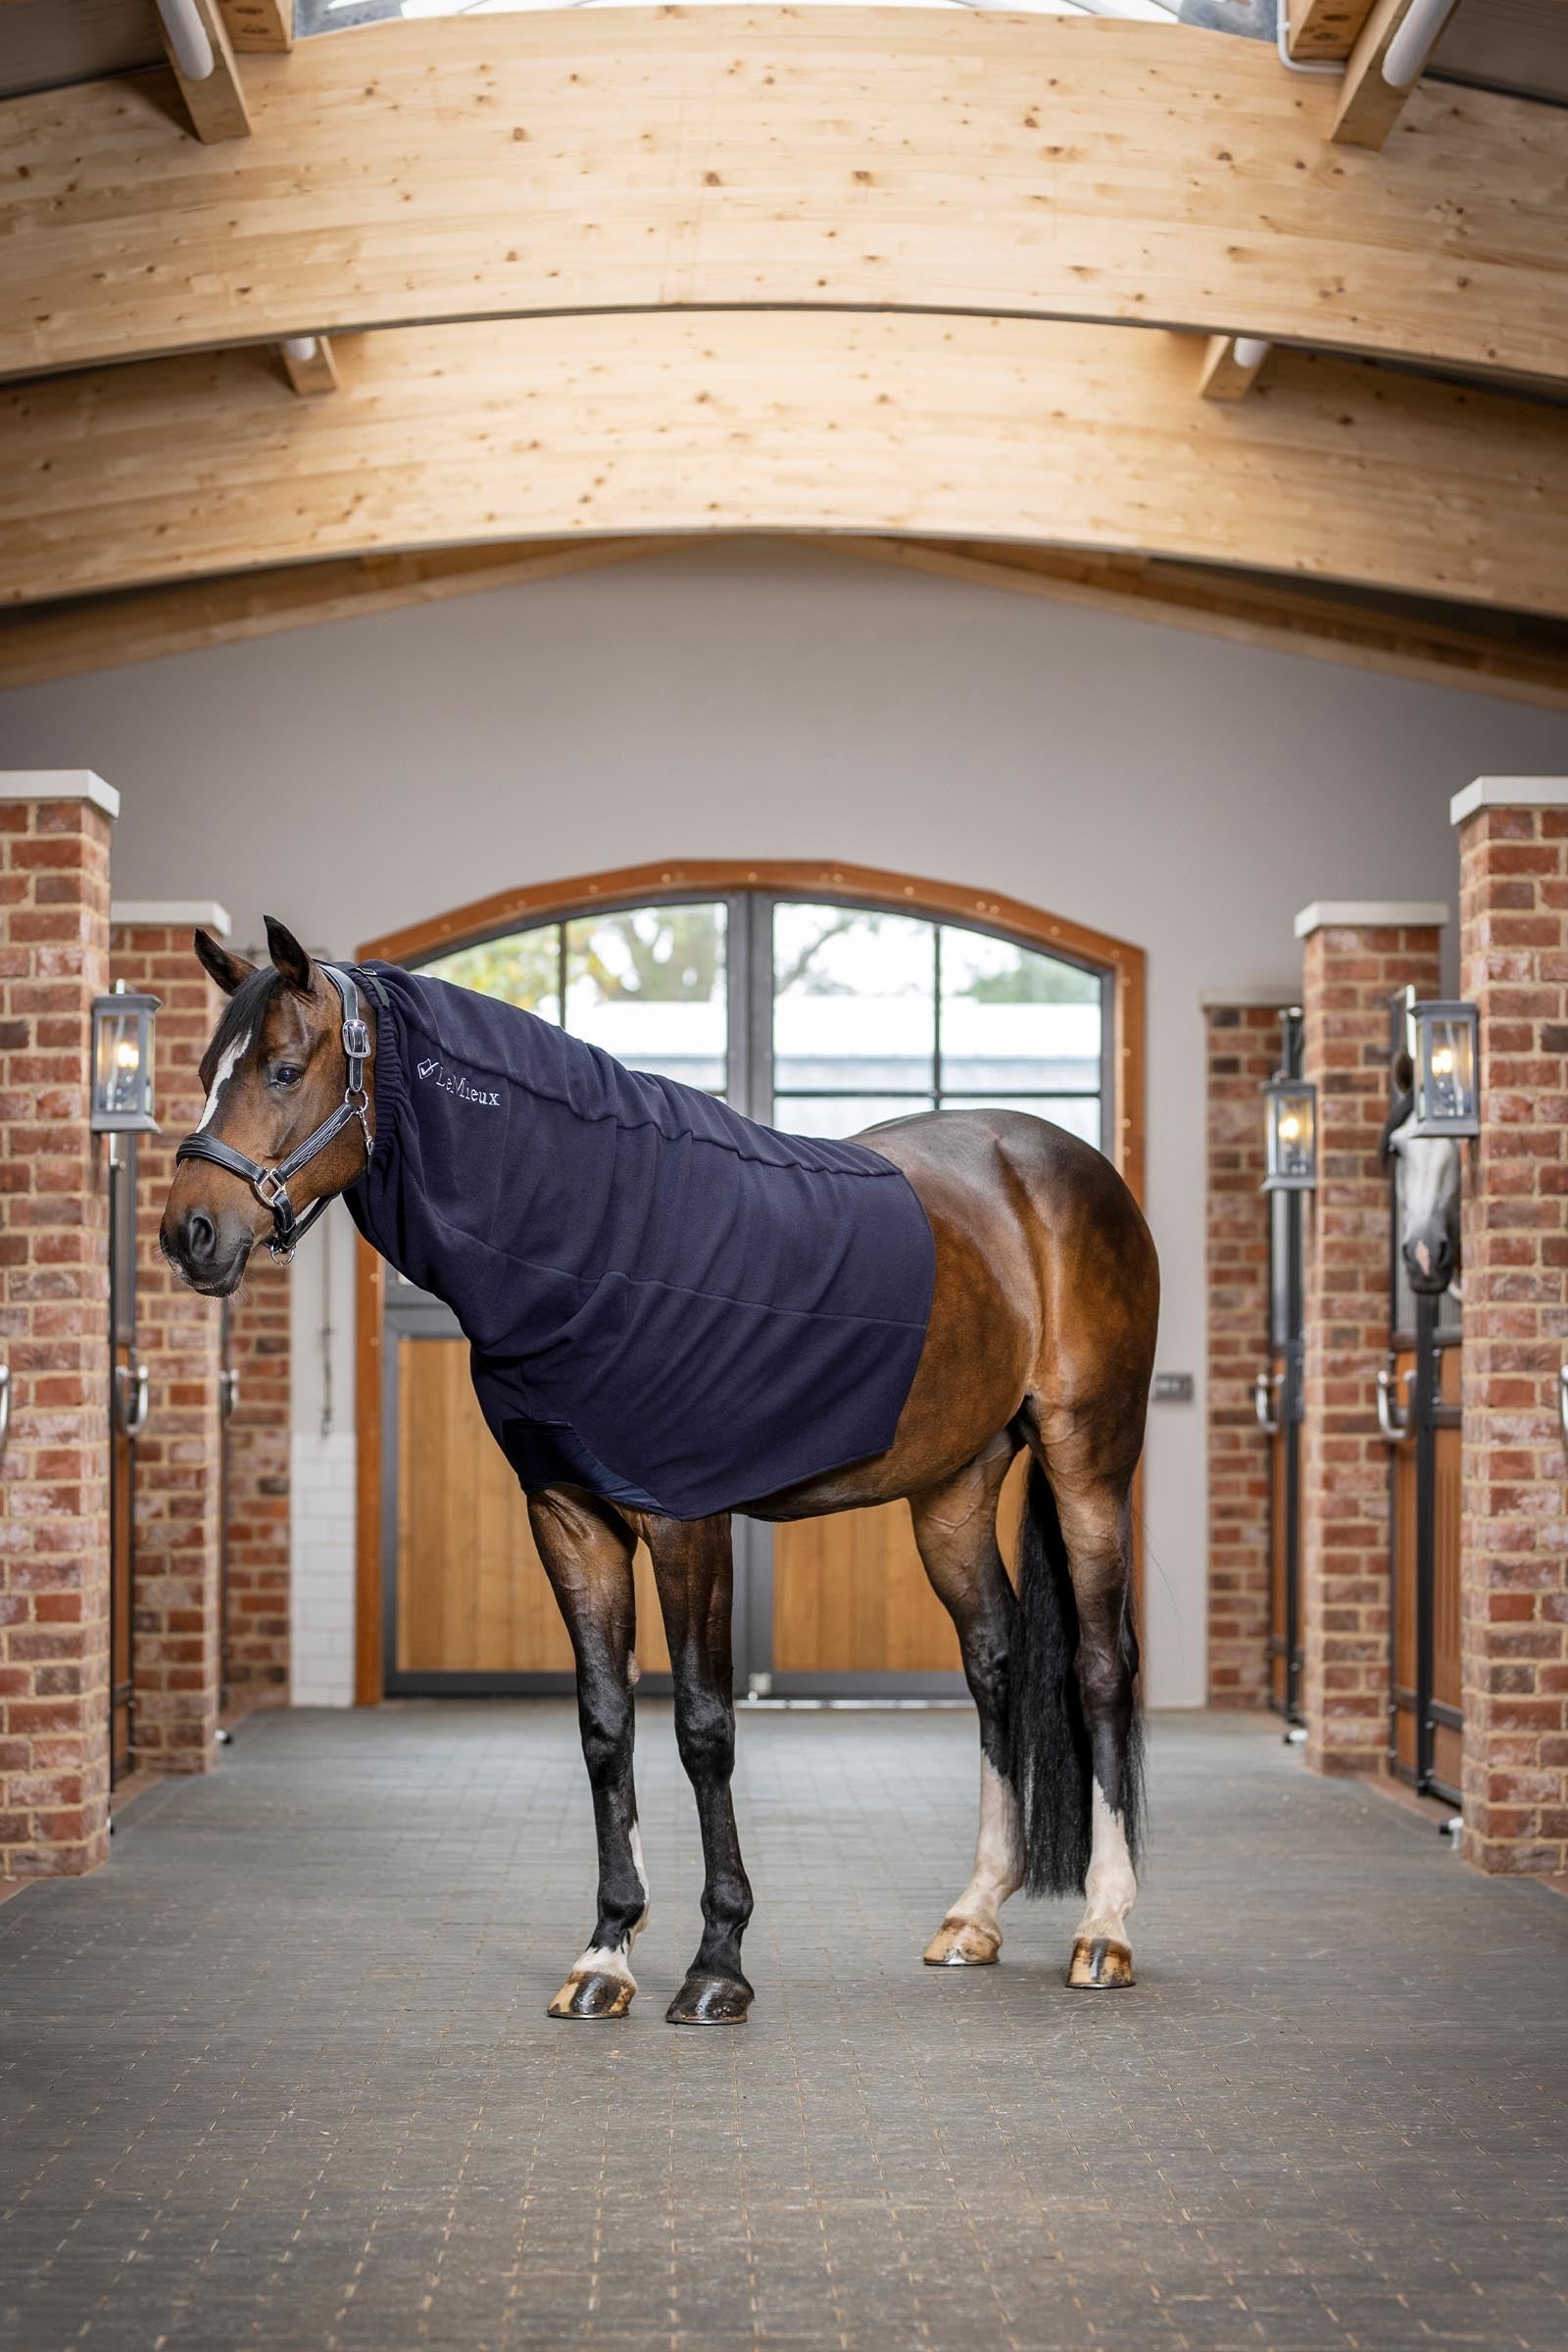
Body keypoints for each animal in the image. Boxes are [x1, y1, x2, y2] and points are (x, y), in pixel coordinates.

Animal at [161, 918, 1160, 2026]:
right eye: (205, 1074)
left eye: (284, 1070)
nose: (189, 1234)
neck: (599, 1230)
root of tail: (1059, 1165)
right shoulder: (569, 1518)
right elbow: (604, 1728)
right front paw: (606, 1952)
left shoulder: (688, 1521)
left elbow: (701, 1726)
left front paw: (717, 1961)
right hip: (951, 1489)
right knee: (994, 1661)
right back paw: (974, 1914)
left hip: (1089, 1464)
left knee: (1101, 1667)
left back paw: (1105, 1929)